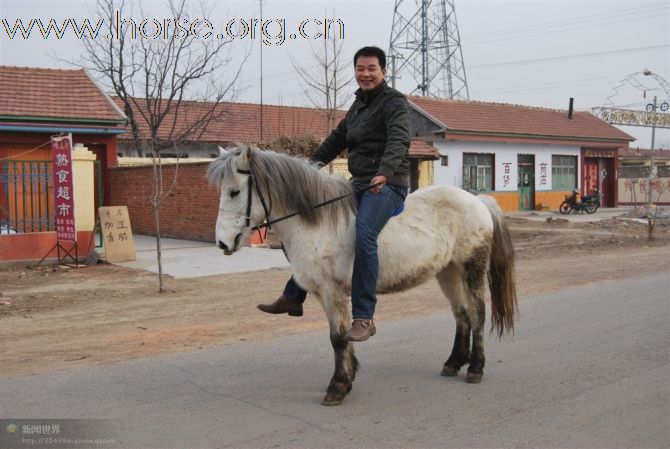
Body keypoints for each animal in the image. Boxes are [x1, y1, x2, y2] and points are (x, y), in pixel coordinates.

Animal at [210, 147, 520, 406]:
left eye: (234, 192)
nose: (222, 243)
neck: (316, 221)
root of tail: (478, 200)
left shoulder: (333, 291)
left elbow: (338, 337)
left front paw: (337, 387)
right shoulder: (324, 292)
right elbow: (341, 337)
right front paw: (348, 377)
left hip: (471, 267)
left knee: (478, 312)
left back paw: (476, 368)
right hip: (448, 271)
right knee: (462, 314)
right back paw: (454, 363)